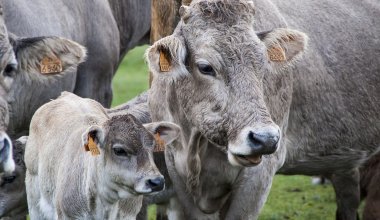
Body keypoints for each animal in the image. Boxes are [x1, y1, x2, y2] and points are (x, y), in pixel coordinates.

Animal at [147, 0, 380, 219]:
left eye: (263, 64)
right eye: (205, 67)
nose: (265, 138)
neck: (194, 145)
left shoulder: (259, 175)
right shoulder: (176, 173)